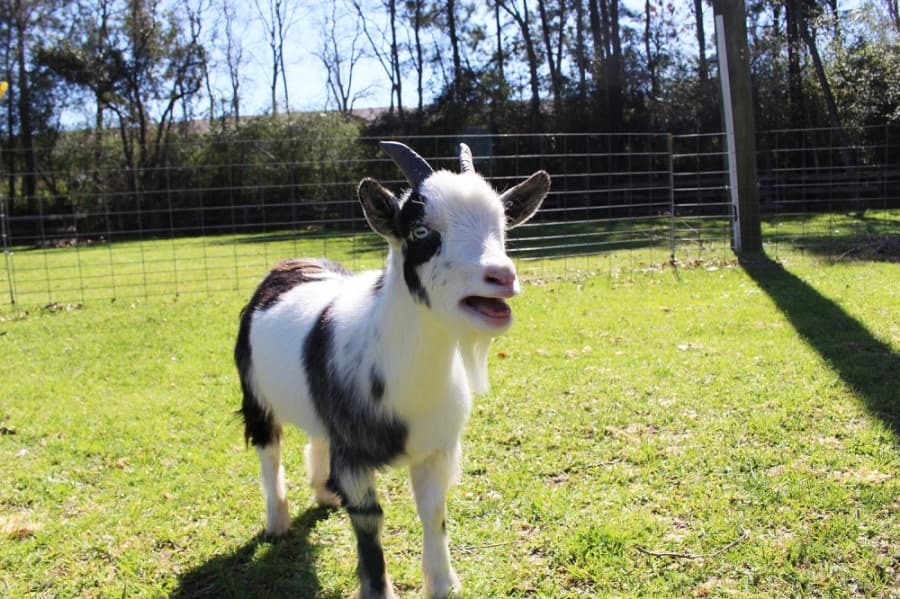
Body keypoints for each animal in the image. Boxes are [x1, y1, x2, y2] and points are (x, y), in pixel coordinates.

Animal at [234, 141, 550, 598]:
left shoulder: (436, 449)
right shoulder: (354, 455)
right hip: (255, 393)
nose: (501, 275)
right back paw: (277, 522)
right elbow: (369, 522)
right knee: (268, 449)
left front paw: (442, 583)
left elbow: (433, 512)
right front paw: (377, 588)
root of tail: (291, 262)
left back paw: (324, 494)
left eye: (502, 226)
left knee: (316, 434)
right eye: (419, 232)